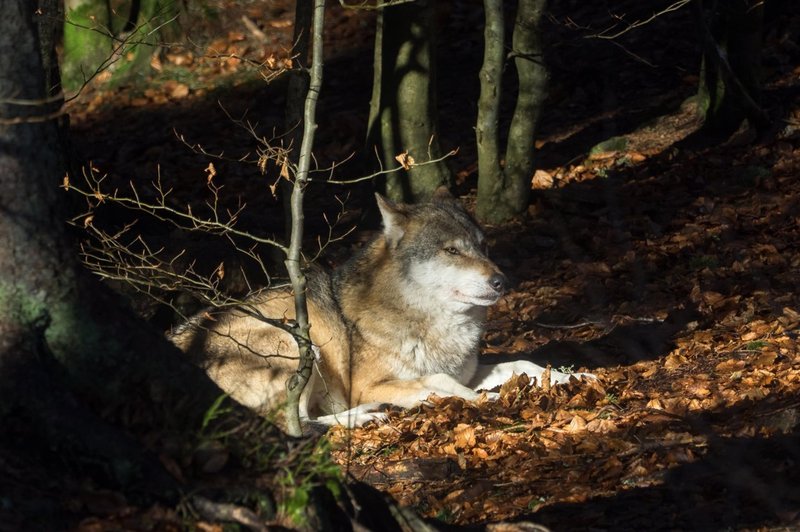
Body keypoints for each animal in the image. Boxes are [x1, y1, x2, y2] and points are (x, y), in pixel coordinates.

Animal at [172, 189, 584, 426]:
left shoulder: (470, 369)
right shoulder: (369, 385)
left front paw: (575, 376)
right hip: (298, 343)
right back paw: (365, 416)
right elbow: (441, 381)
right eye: (452, 250)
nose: (502, 281)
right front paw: (493, 399)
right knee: (300, 422)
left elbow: (523, 364)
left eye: (483, 247)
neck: (425, 320)